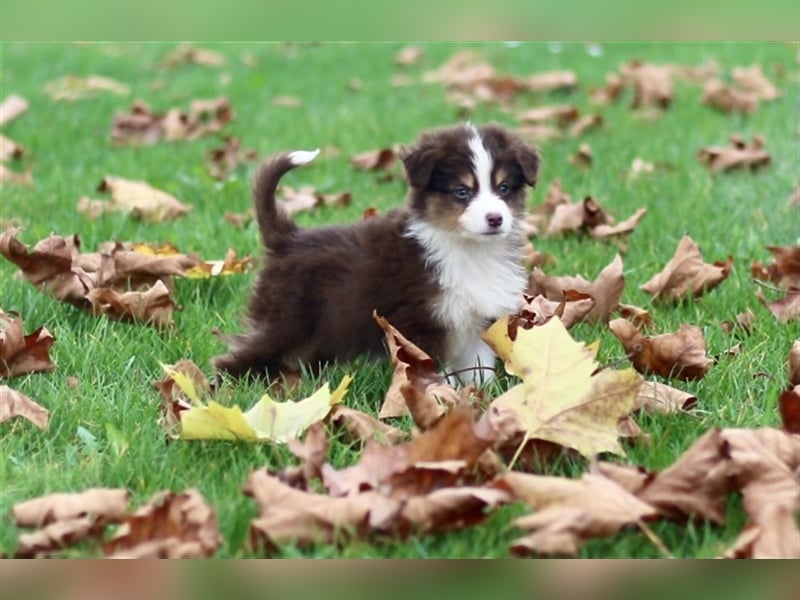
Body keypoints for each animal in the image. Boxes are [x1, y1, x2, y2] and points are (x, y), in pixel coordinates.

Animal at [214, 123, 536, 384]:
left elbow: (479, 371)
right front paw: (441, 402)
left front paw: (479, 402)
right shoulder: (419, 325)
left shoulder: (477, 323)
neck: (467, 249)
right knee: (240, 356)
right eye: (461, 192)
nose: (495, 218)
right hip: (284, 320)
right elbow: (433, 372)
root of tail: (287, 237)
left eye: (504, 188)